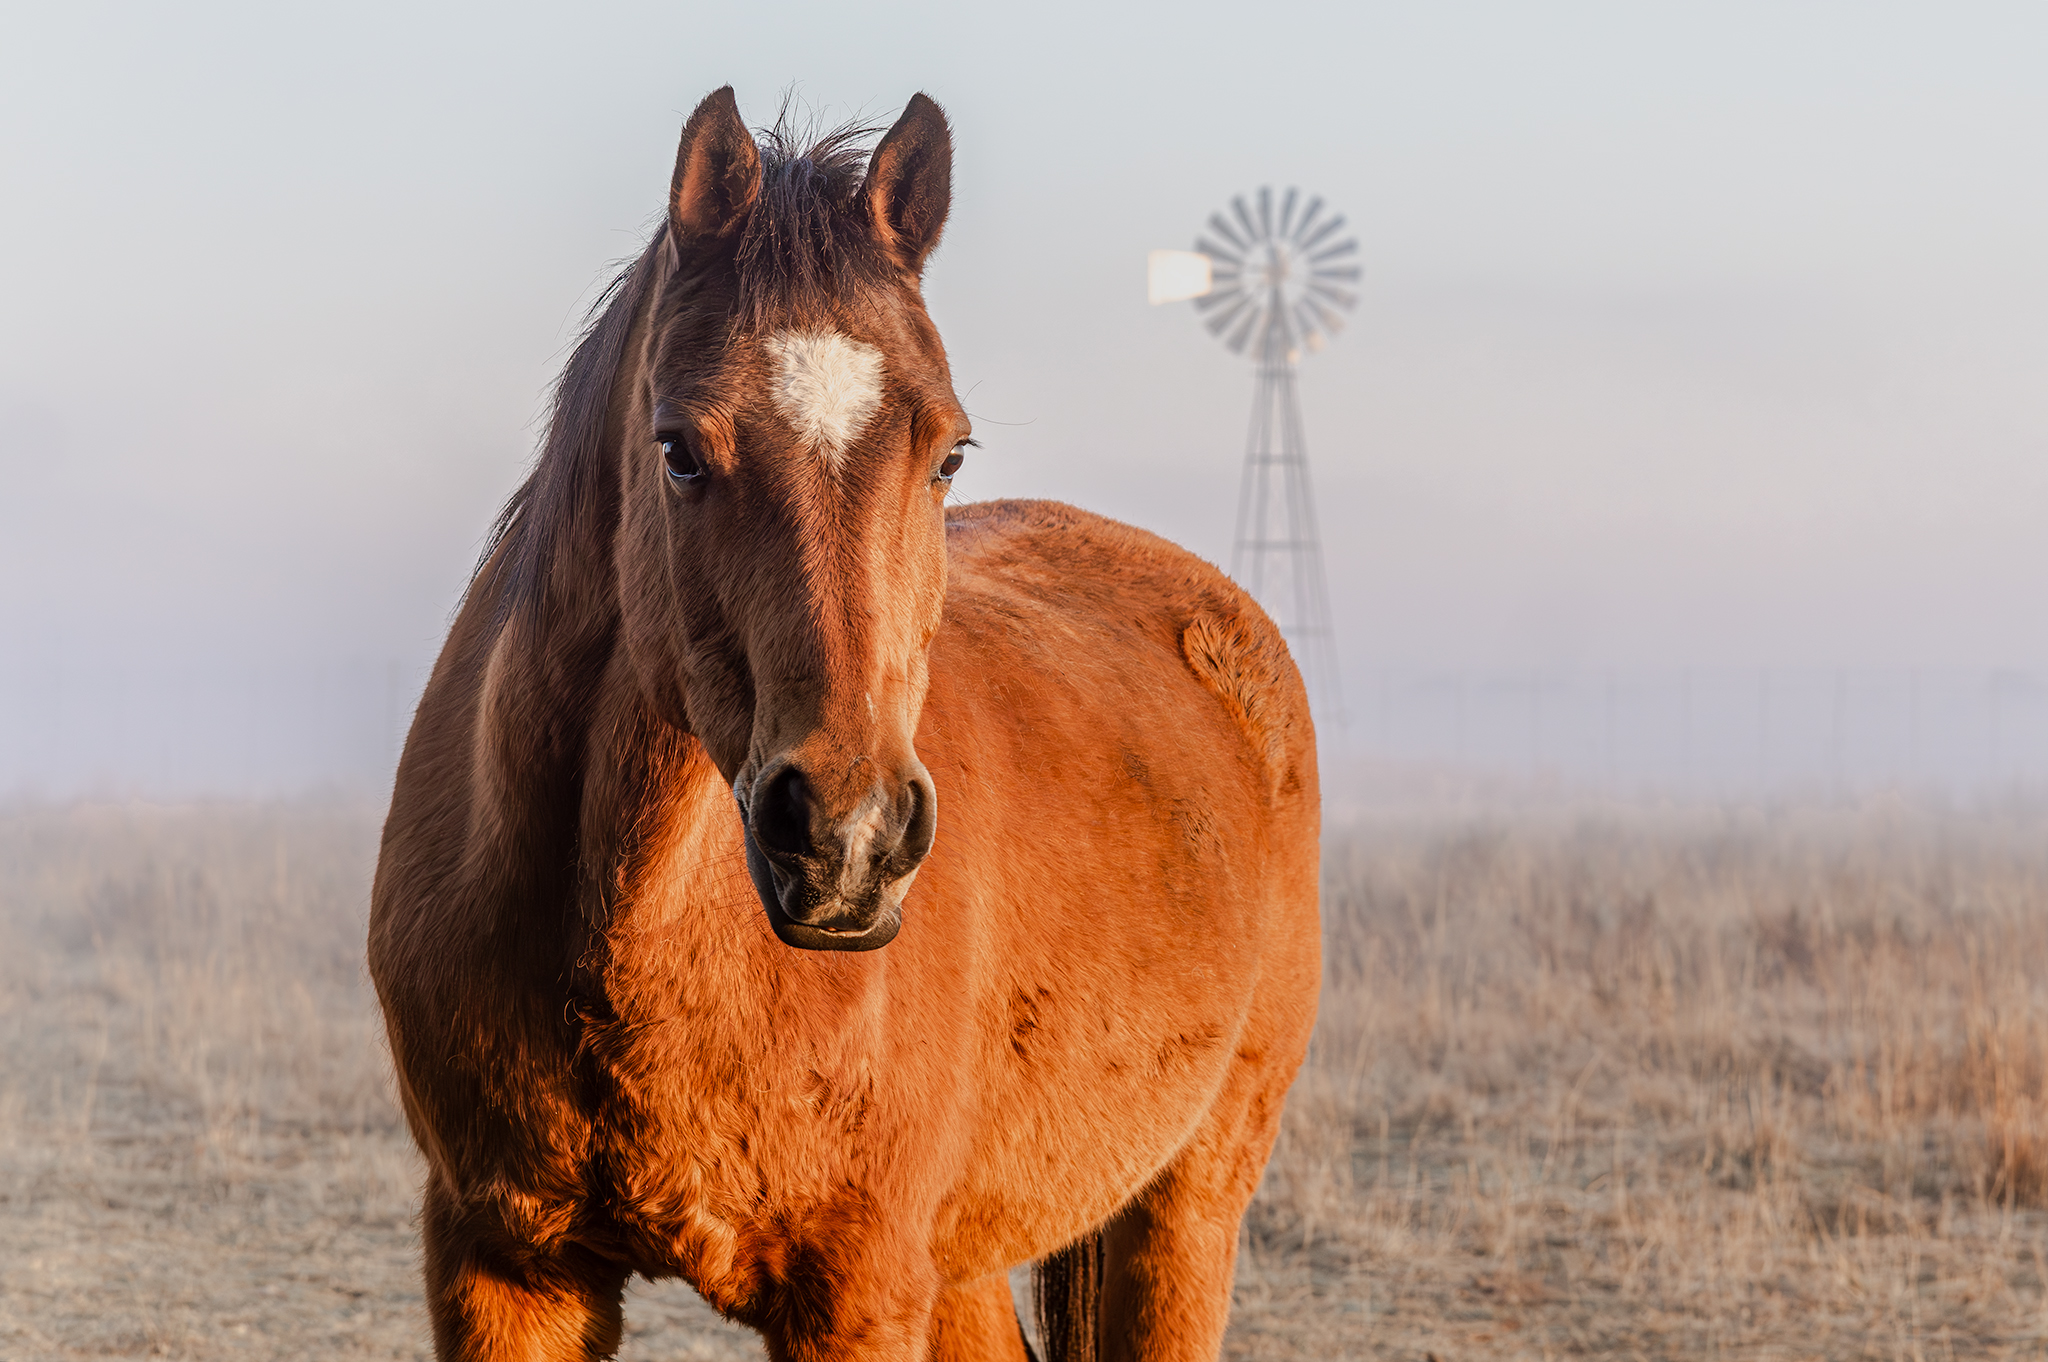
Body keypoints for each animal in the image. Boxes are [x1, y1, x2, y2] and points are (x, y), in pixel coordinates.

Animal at [367, 87, 1321, 1362]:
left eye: (948, 451)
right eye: (678, 450)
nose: (847, 841)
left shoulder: (854, 1289)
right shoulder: (501, 1265)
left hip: (1184, 1204)